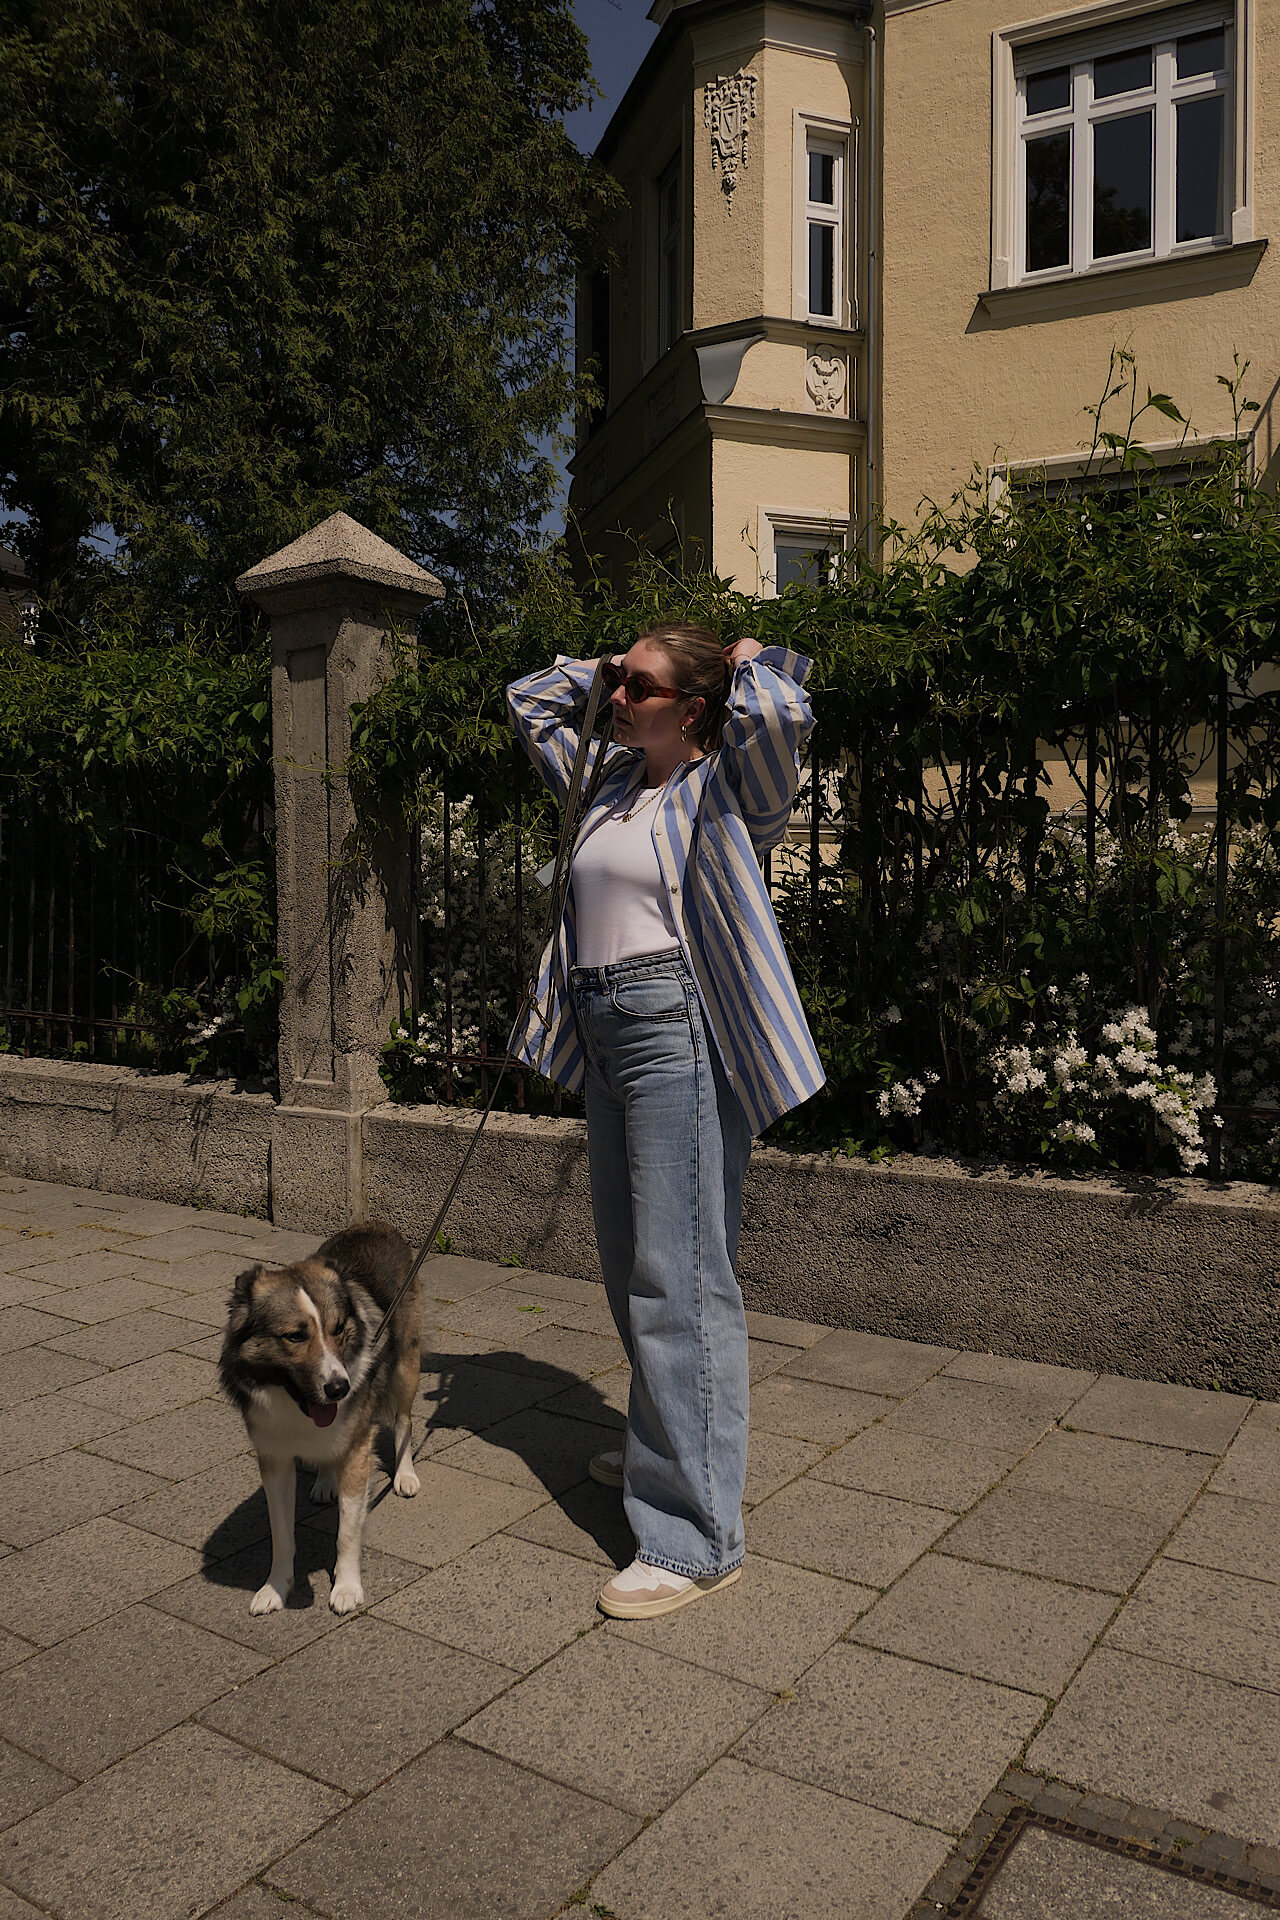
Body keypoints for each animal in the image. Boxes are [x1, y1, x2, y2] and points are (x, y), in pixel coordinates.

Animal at [217, 1221, 422, 1612]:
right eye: (295, 1336)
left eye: (338, 1329)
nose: (340, 1388)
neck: (296, 1404)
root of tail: (375, 1225)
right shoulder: (274, 1458)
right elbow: (281, 1534)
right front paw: (276, 1589)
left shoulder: (357, 1449)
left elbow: (347, 1532)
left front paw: (346, 1588)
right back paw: (327, 1481)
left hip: (405, 1364)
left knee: (404, 1420)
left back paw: (405, 1475)